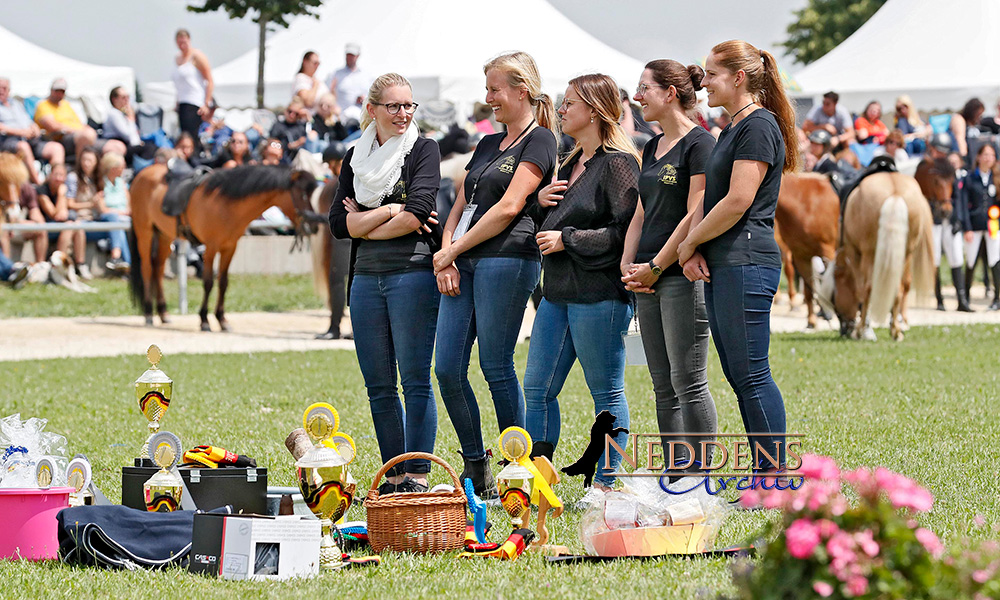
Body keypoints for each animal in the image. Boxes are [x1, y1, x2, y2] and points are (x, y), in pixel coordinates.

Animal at [129, 164, 316, 330]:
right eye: (302, 195)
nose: (312, 226)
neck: (226, 203)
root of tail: (142, 174)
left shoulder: (230, 248)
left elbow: (224, 282)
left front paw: (222, 320)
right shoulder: (211, 248)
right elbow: (208, 282)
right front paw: (204, 320)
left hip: (164, 235)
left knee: (158, 268)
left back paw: (163, 314)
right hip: (144, 232)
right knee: (147, 268)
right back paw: (148, 314)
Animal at [816, 173, 932, 342]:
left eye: (834, 298)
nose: (844, 329)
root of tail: (894, 192)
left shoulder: (854, 252)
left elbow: (860, 290)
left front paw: (863, 330)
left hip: (869, 254)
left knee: (868, 288)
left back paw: (861, 330)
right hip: (905, 253)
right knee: (898, 289)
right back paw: (896, 331)